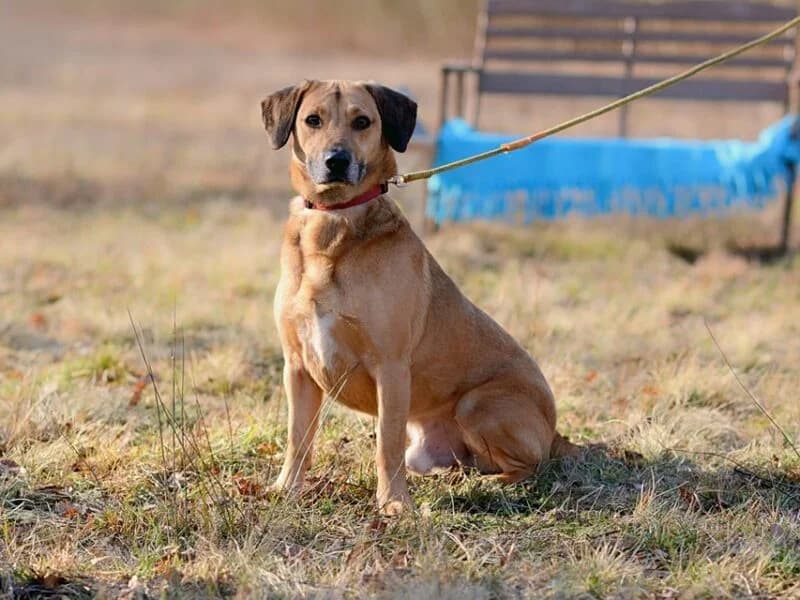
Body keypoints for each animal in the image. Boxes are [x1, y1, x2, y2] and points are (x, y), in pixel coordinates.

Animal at [262, 80, 577, 515]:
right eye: (313, 119)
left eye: (363, 121)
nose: (336, 161)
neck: (333, 223)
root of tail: (555, 433)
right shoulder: (297, 368)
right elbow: (298, 439)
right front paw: (286, 489)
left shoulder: (391, 368)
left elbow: (387, 443)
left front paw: (394, 503)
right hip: (430, 449)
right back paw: (454, 476)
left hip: (477, 404)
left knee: (527, 466)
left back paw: (489, 484)